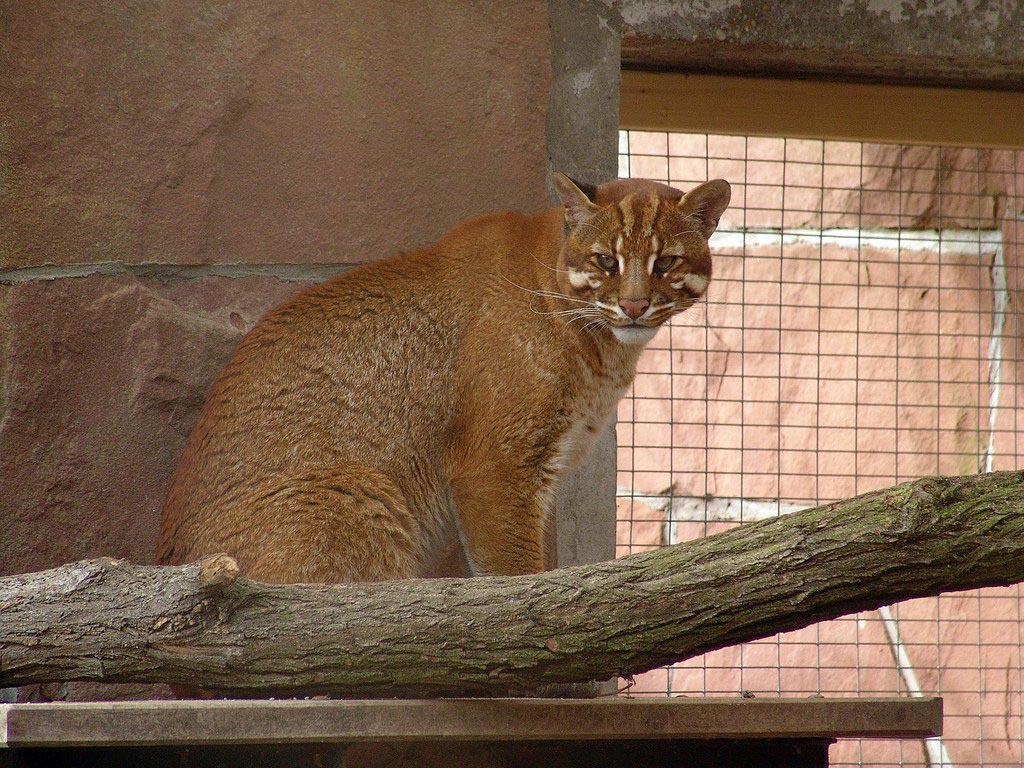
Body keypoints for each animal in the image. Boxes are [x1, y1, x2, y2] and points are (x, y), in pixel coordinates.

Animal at [155, 174, 729, 581]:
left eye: (666, 262)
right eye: (606, 260)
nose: (633, 306)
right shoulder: (495, 466)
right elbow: (512, 574)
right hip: (361, 492)